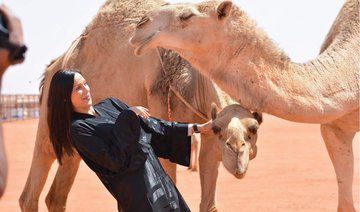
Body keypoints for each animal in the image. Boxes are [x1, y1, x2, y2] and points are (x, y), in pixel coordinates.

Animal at [19, 0, 262, 212]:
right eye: (221, 131)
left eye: (254, 129)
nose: (237, 153)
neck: (194, 78)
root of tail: (54, 65)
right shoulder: (162, 104)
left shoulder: (207, 127)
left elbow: (209, 202)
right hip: (50, 119)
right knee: (32, 188)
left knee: (56, 195)